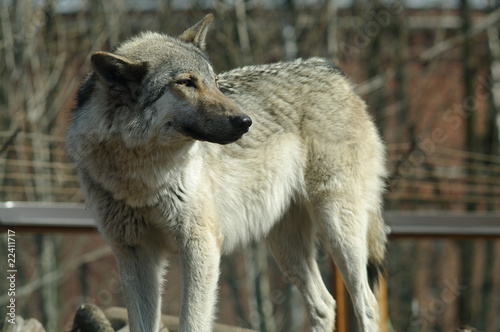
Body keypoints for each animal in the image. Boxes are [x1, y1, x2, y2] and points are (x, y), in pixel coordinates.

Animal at [65, 13, 386, 332]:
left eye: (215, 82)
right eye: (186, 82)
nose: (245, 121)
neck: (141, 178)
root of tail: (331, 70)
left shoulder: (200, 246)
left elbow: (192, 323)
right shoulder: (134, 254)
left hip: (338, 229)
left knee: (367, 303)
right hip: (286, 245)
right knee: (324, 303)